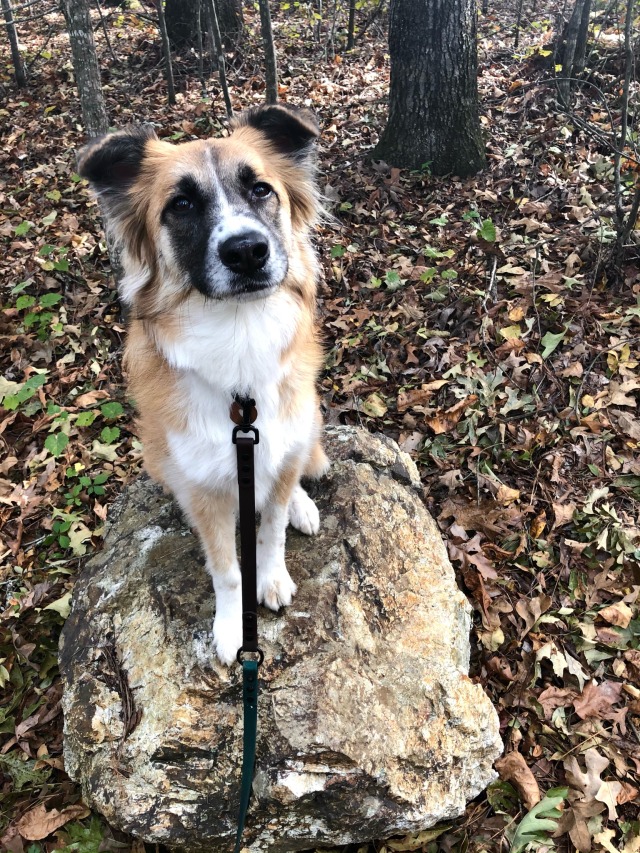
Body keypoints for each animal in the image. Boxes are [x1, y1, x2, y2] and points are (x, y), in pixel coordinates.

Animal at [79, 105, 328, 664]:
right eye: (182, 204)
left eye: (260, 189)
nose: (247, 251)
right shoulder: (208, 491)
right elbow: (229, 570)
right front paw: (234, 627)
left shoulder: (277, 446)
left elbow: (271, 529)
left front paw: (272, 575)